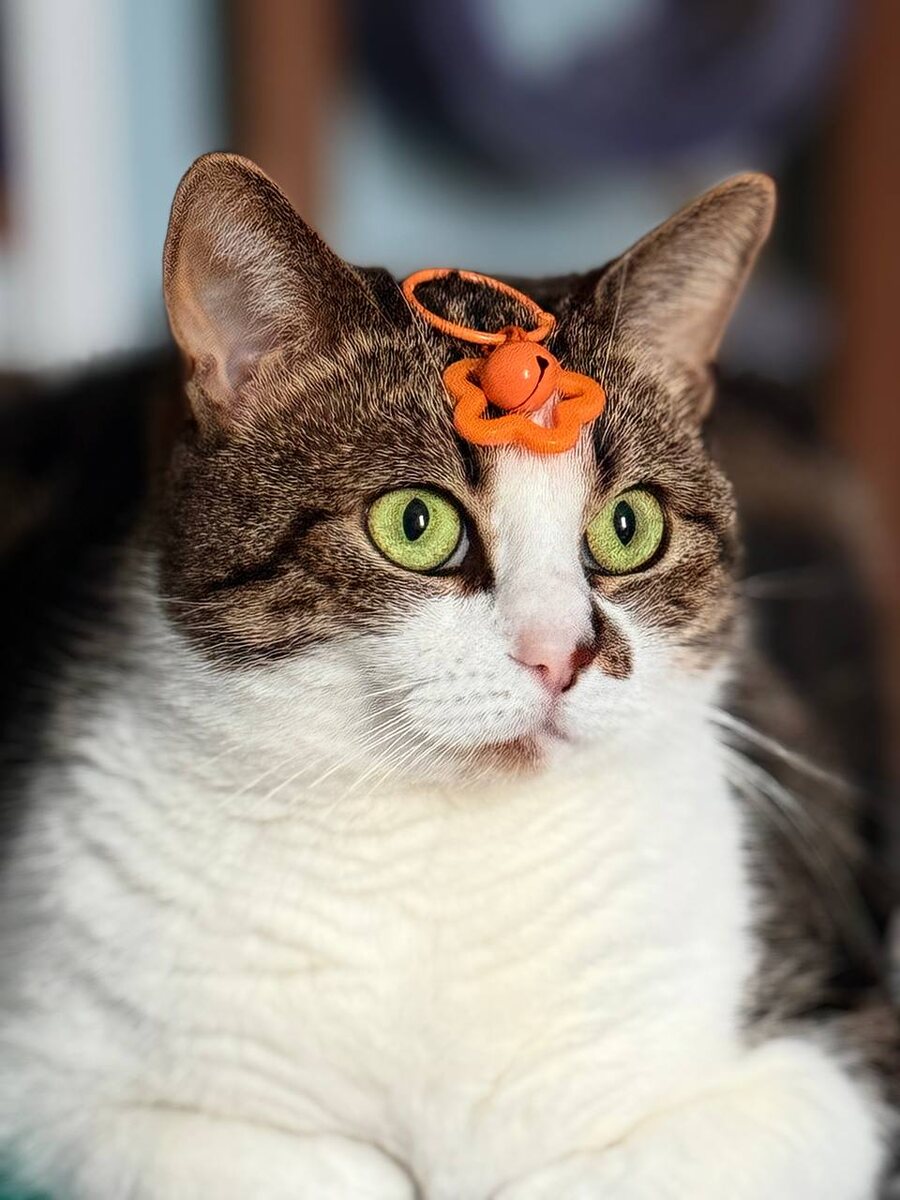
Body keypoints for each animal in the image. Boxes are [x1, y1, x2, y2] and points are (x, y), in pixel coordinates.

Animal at [0, 152, 897, 1199]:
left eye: (628, 526)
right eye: (415, 523)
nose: (561, 652)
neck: (445, 863)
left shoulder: (838, 1062)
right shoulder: (54, 1081)